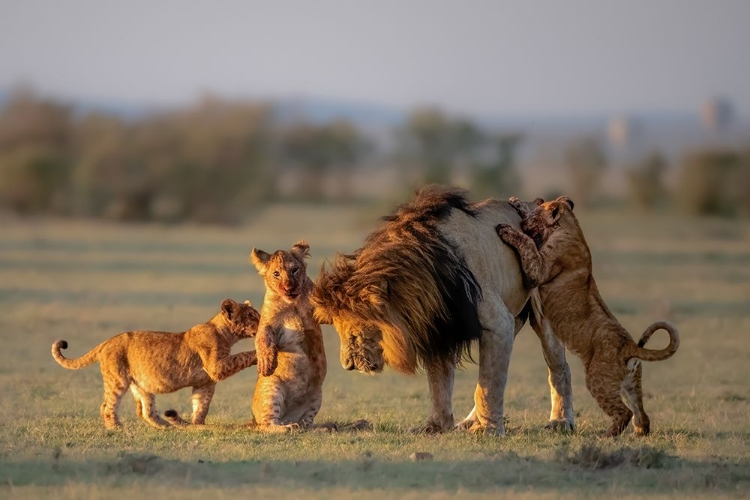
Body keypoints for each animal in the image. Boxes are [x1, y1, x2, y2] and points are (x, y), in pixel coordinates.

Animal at [312, 186, 576, 436]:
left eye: (354, 333)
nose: (347, 365)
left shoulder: (498, 324)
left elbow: (488, 385)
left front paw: (489, 429)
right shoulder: (436, 326)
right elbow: (439, 383)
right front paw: (436, 426)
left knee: (559, 367)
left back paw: (561, 421)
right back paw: (469, 422)